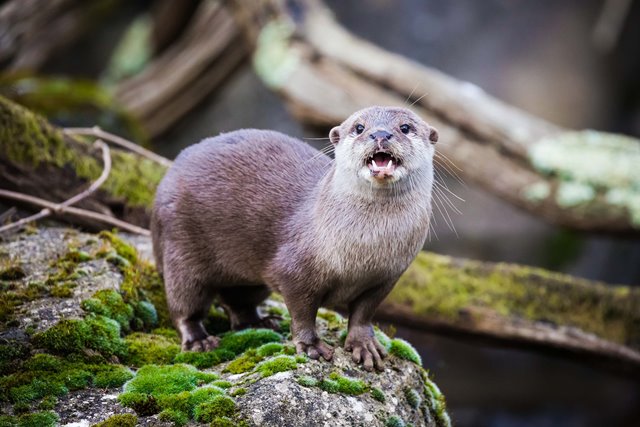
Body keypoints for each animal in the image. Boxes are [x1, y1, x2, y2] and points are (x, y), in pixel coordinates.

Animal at [152, 106, 438, 372]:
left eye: (405, 127)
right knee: (184, 304)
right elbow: (302, 312)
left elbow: (363, 314)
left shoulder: (386, 278)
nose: (380, 134)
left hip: (248, 278)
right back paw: (199, 340)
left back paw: (259, 322)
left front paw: (364, 345)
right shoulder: (295, 270)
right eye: (359, 127)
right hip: (180, 248)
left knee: (237, 301)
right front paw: (311, 346)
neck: (365, 251)